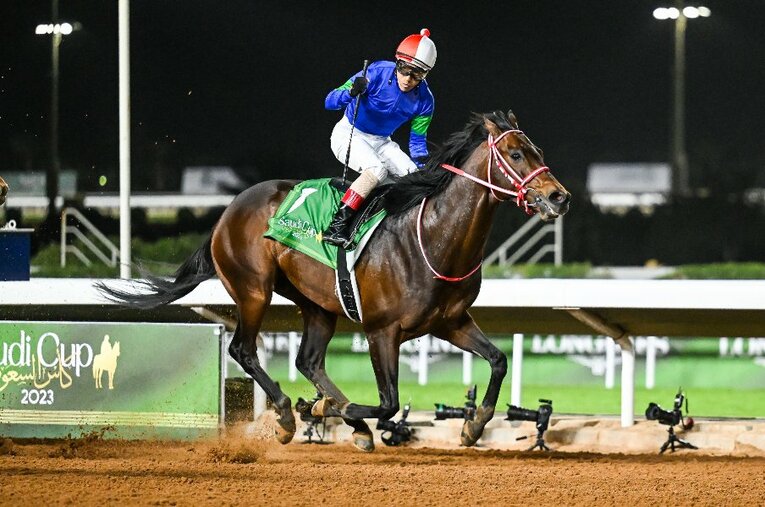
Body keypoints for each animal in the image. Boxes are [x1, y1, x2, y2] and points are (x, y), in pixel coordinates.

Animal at [98, 109, 570, 451]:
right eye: (515, 154)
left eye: (537, 149)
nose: (558, 196)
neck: (434, 237)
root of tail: (228, 210)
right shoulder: (382, 330)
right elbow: (389, 402)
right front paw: (323, 410)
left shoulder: (450, 321)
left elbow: (498, 360)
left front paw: (473, 427)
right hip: (253, 289)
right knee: (242, 349)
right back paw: (289, 414)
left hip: (318, 304)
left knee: (308, 360)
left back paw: (340, 417)